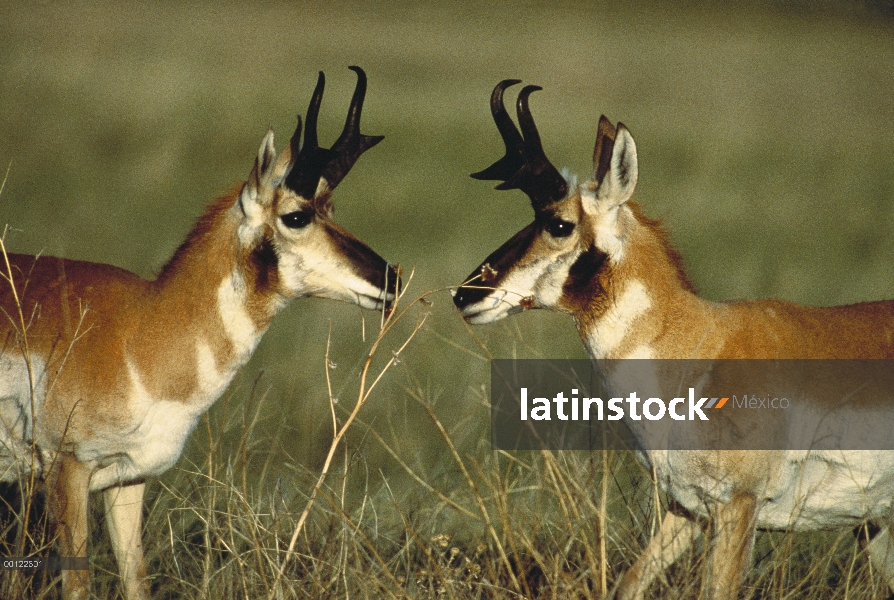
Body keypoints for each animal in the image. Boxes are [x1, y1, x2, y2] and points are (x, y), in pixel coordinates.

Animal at [0, 65, 400, 600]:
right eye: (297, 215)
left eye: (331, 208)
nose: (392, 278)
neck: (142, 329)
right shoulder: (68, 473)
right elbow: (77, 586)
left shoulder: (127, 482)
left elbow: (136, 581)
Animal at [458, 79, 894, 600]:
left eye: (558, 223)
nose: (464, 294)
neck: (701, 346)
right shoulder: (687, 509)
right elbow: (628, 583)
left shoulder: (737, 507)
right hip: (875, 526)